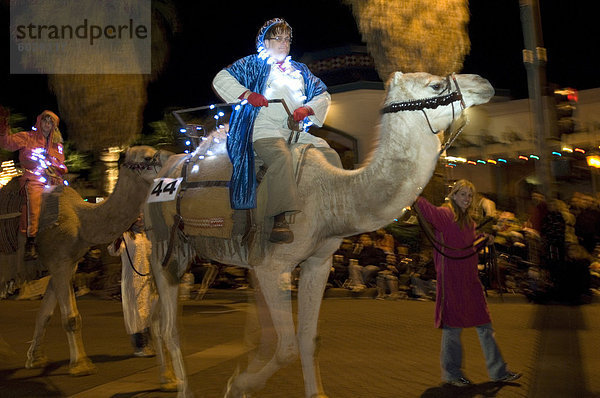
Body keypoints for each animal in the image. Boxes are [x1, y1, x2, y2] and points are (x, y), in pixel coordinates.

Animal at [148, 72, 494, 398]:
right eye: (435, 85)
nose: (483, 82)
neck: (333, 194)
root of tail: (171, 163)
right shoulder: (273, 267)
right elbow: (285, 345)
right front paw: (236, 385)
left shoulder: (318, 262)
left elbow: (306, 338)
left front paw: (311, 391)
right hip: (165, 247)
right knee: (169, 326)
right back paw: (182, 388)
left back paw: (167, 379)